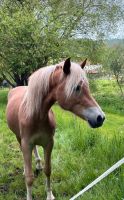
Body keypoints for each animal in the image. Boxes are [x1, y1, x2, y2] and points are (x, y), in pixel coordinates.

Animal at [5, 57, 104, 199]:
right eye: (77, 88)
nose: (100, 117)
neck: (37, 115)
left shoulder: (48, 143)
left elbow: (48, 170)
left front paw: (49, 195)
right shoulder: (26, 143)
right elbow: (29, 178)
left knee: (35, 150)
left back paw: (38, 164)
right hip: (19, 137)